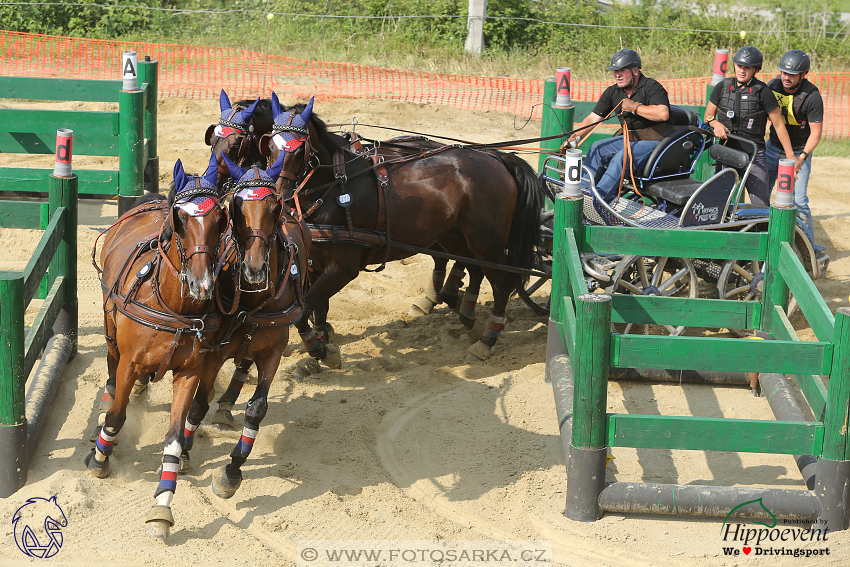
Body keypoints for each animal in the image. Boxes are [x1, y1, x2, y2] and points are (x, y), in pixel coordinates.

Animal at [87, 152, 229, 540]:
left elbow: (175, 438)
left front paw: (162, 507)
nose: (202, 284)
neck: (173, 307)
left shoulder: (190, 372)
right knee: (111, 374)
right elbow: (116, 417)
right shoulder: (129, 362)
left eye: (221, 220)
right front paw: (100, 458)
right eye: (181, 221)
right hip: (110, 332)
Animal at [177, 152, 310, 502]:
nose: (253, 268)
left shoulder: (274, 350)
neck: (252, 301)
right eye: (235, 207)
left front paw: (231, 472)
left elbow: (256, 410)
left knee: (244, 364)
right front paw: (183, 451)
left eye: (274, 208)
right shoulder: (213, 352)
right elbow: (197, 404)